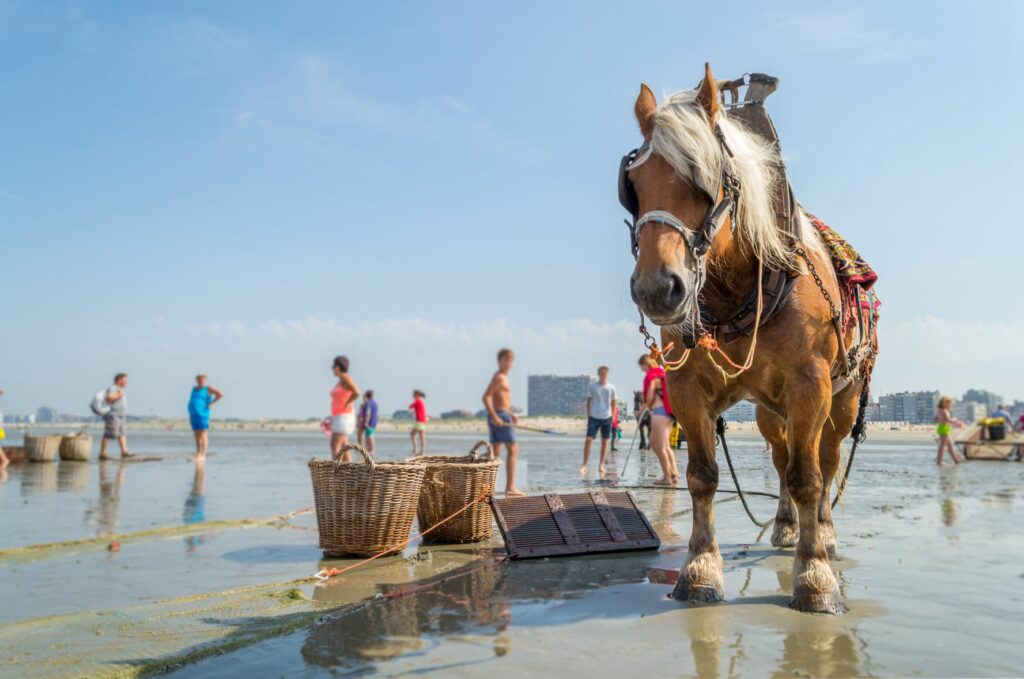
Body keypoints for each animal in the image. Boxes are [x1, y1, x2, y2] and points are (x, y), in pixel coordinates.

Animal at [622, 65, 872, 614]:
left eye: (705, 180)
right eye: (634, 185)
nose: (657, 289)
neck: (739, 290)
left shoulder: (810, 386)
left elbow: (808, 478)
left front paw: (815, 577)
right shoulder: (687, 388)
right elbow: (703, 477)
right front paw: (699, 570)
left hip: (843, 398)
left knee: (825, 460)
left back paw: (824, 533)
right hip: (767, 412)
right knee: (781, 459)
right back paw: (784, 526)